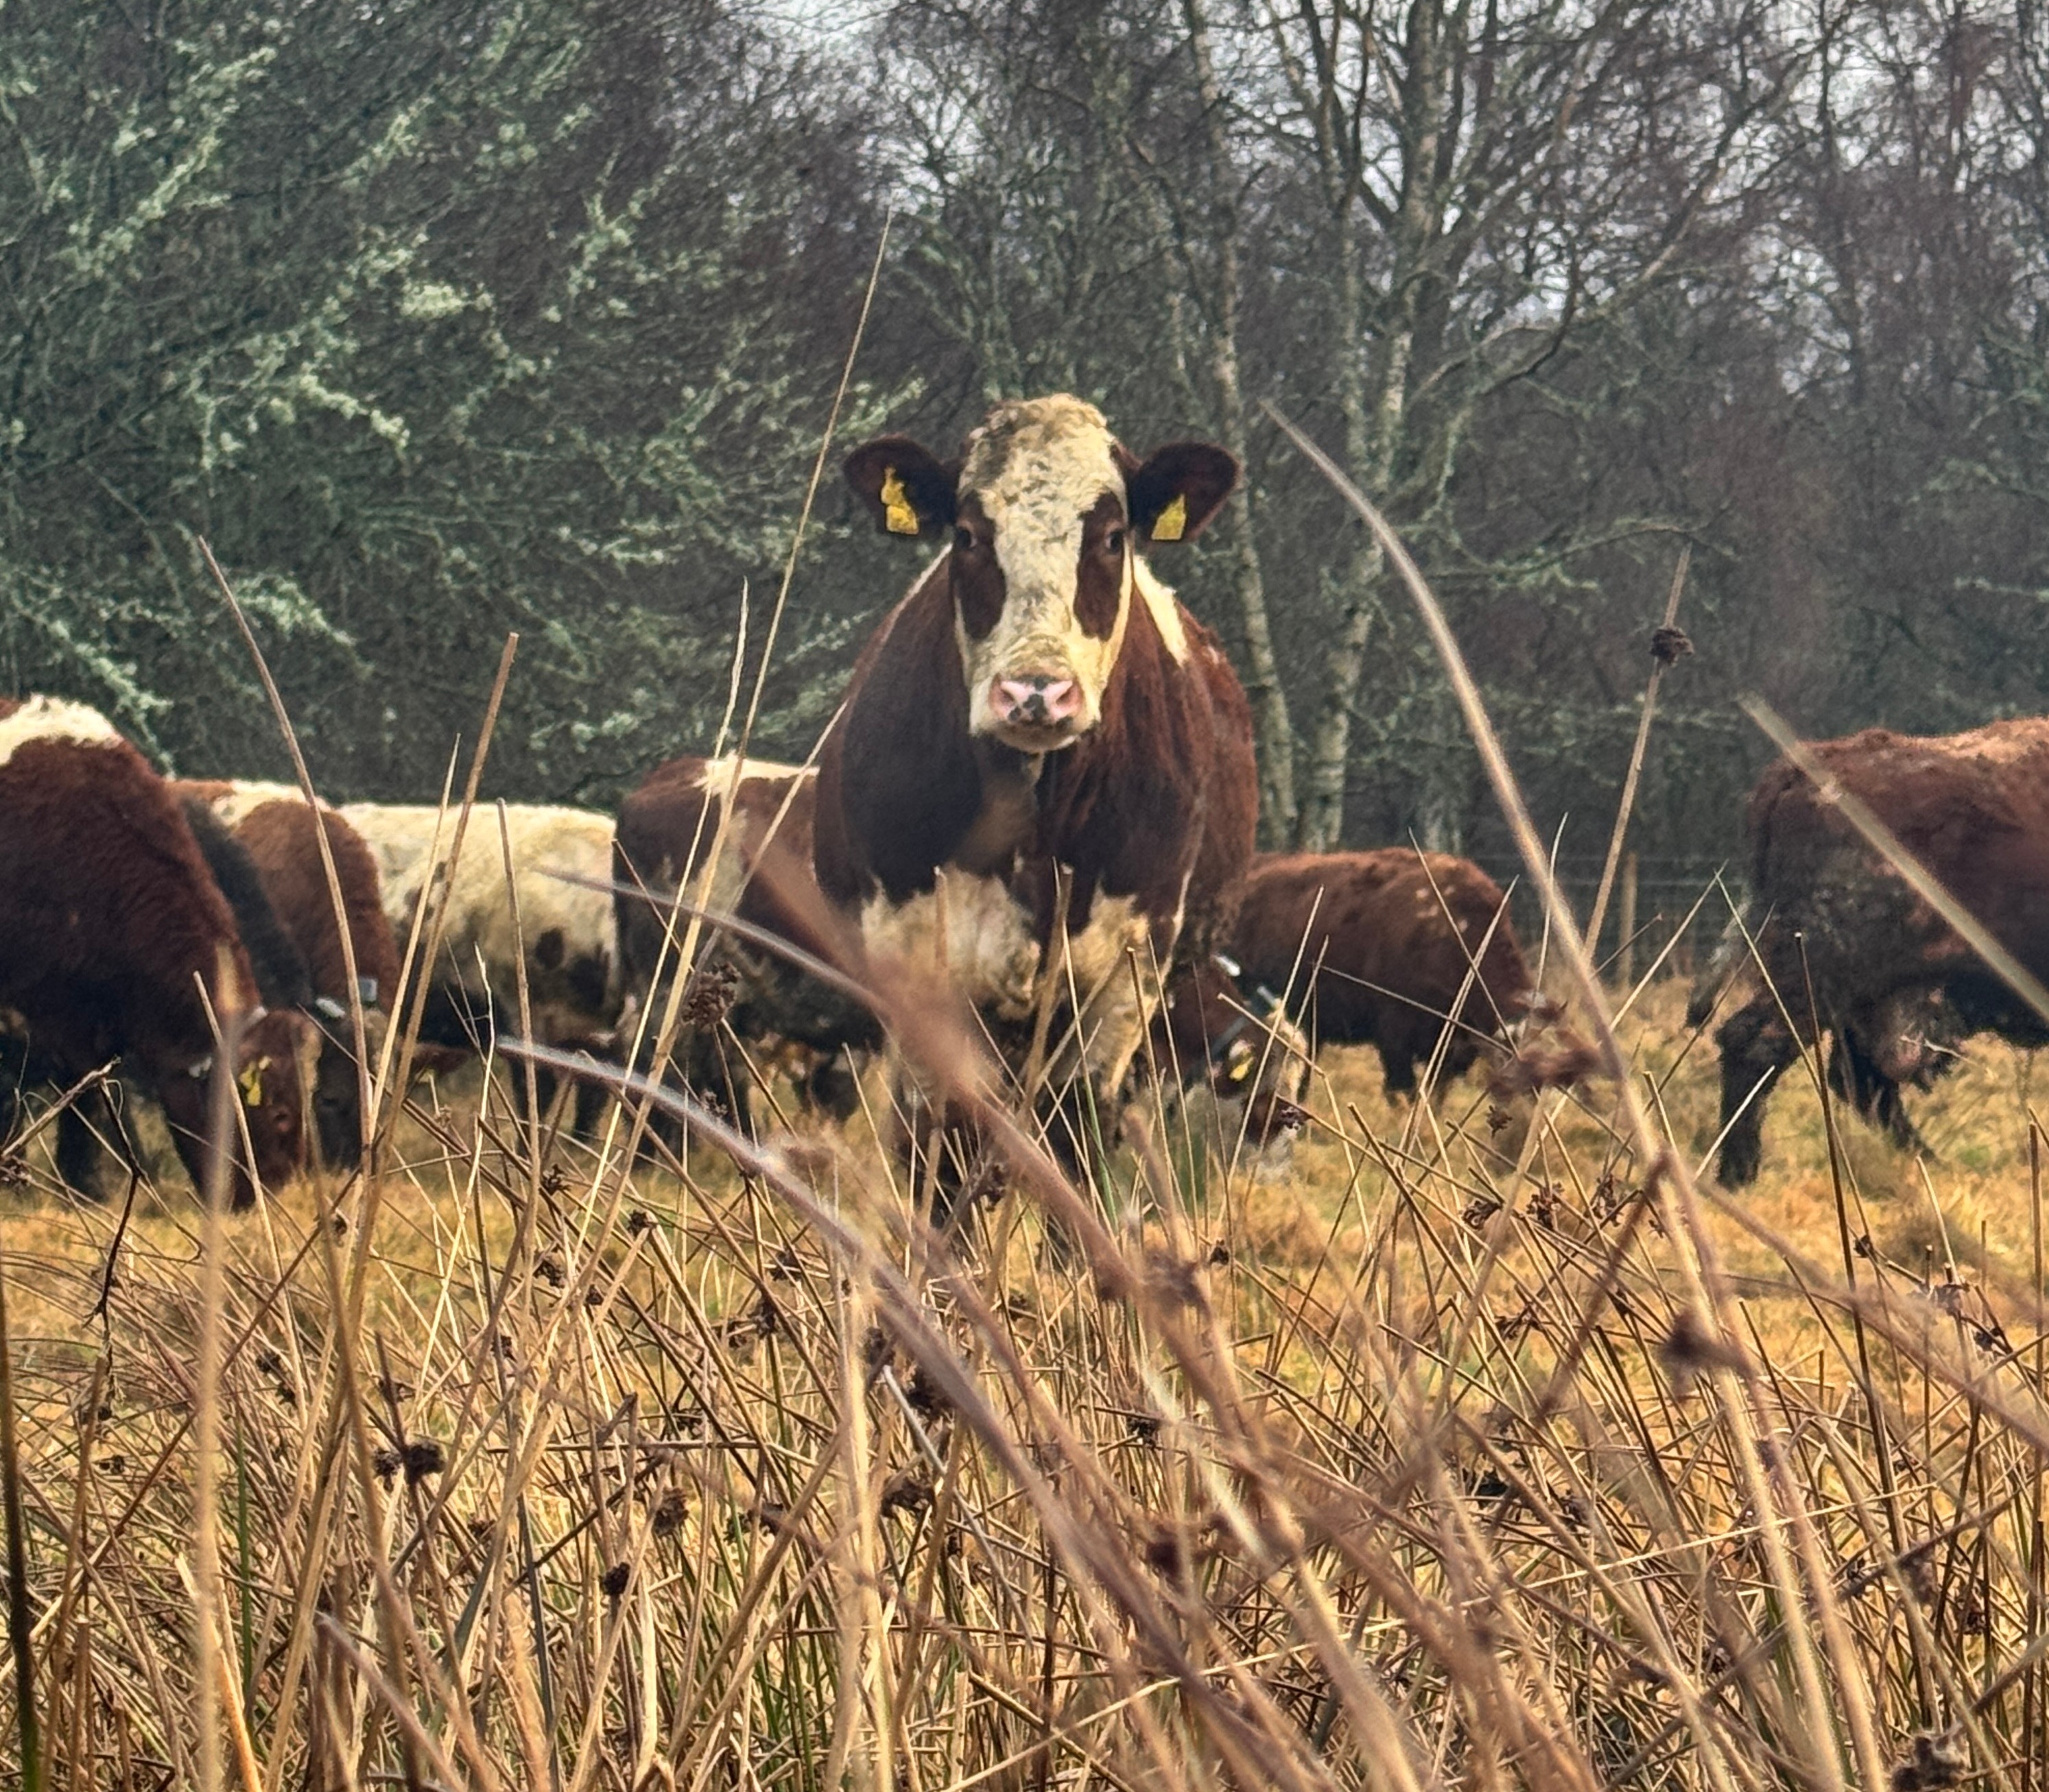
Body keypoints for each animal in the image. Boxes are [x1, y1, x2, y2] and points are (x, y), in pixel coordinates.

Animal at [816, 394, 1256, 1197]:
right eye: (966, 534)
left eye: (1111, 537)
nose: (1034, 692)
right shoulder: (914, 964)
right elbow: (934, 1145)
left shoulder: (1125, 975)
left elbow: (1077, 1137)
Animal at [1688, 718, 2049, 1187]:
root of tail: (1800, 770)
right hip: (1828, 974)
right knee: (1756, 1045)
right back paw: (1739, 1175)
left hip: (1871, 990)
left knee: (1858, 1080)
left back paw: (1931, 1164)